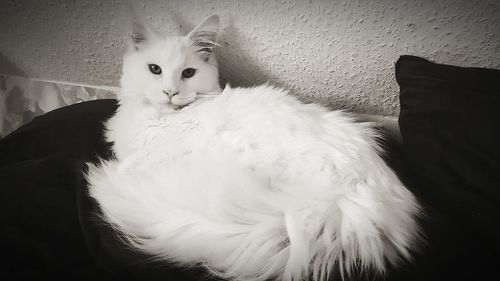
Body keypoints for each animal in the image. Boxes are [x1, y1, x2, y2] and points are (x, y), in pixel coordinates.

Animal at [87, 14, 422, 280]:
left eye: (188, 73)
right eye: (154, 69)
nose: (171, 92)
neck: (164, 117)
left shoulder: (152, 156)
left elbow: (130, 163)